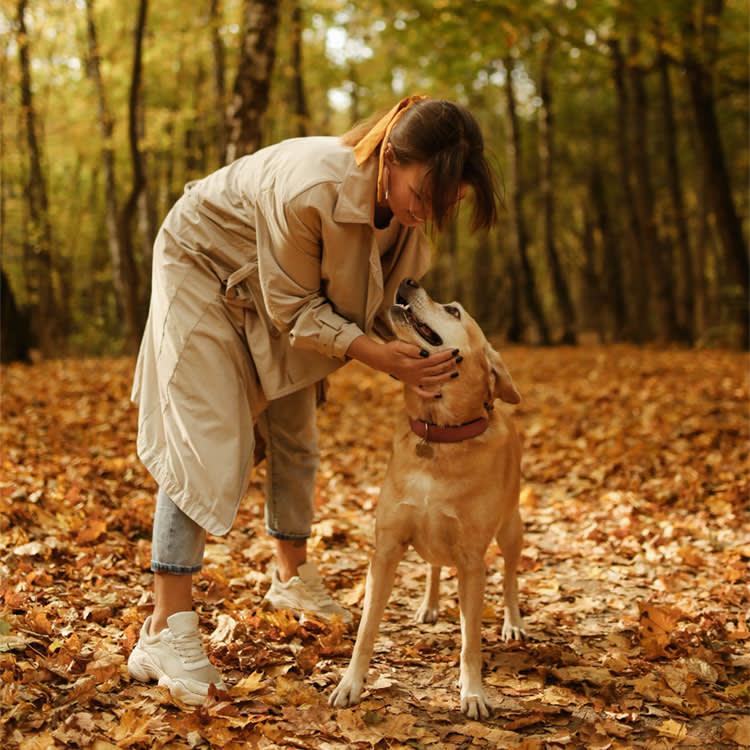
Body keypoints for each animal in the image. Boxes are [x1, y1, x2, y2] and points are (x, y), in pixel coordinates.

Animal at [332, 280, 524, 724]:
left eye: (454, 311)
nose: (408, 282)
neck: (439, 435)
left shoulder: (472, 562)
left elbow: (471, 640)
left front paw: (473, 692)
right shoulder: (385, 551)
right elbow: (366, 629)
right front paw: (351, 683)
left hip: (511, 531)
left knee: (509, 578)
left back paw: (512, 622)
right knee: (436, 566)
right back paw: (430, 604)